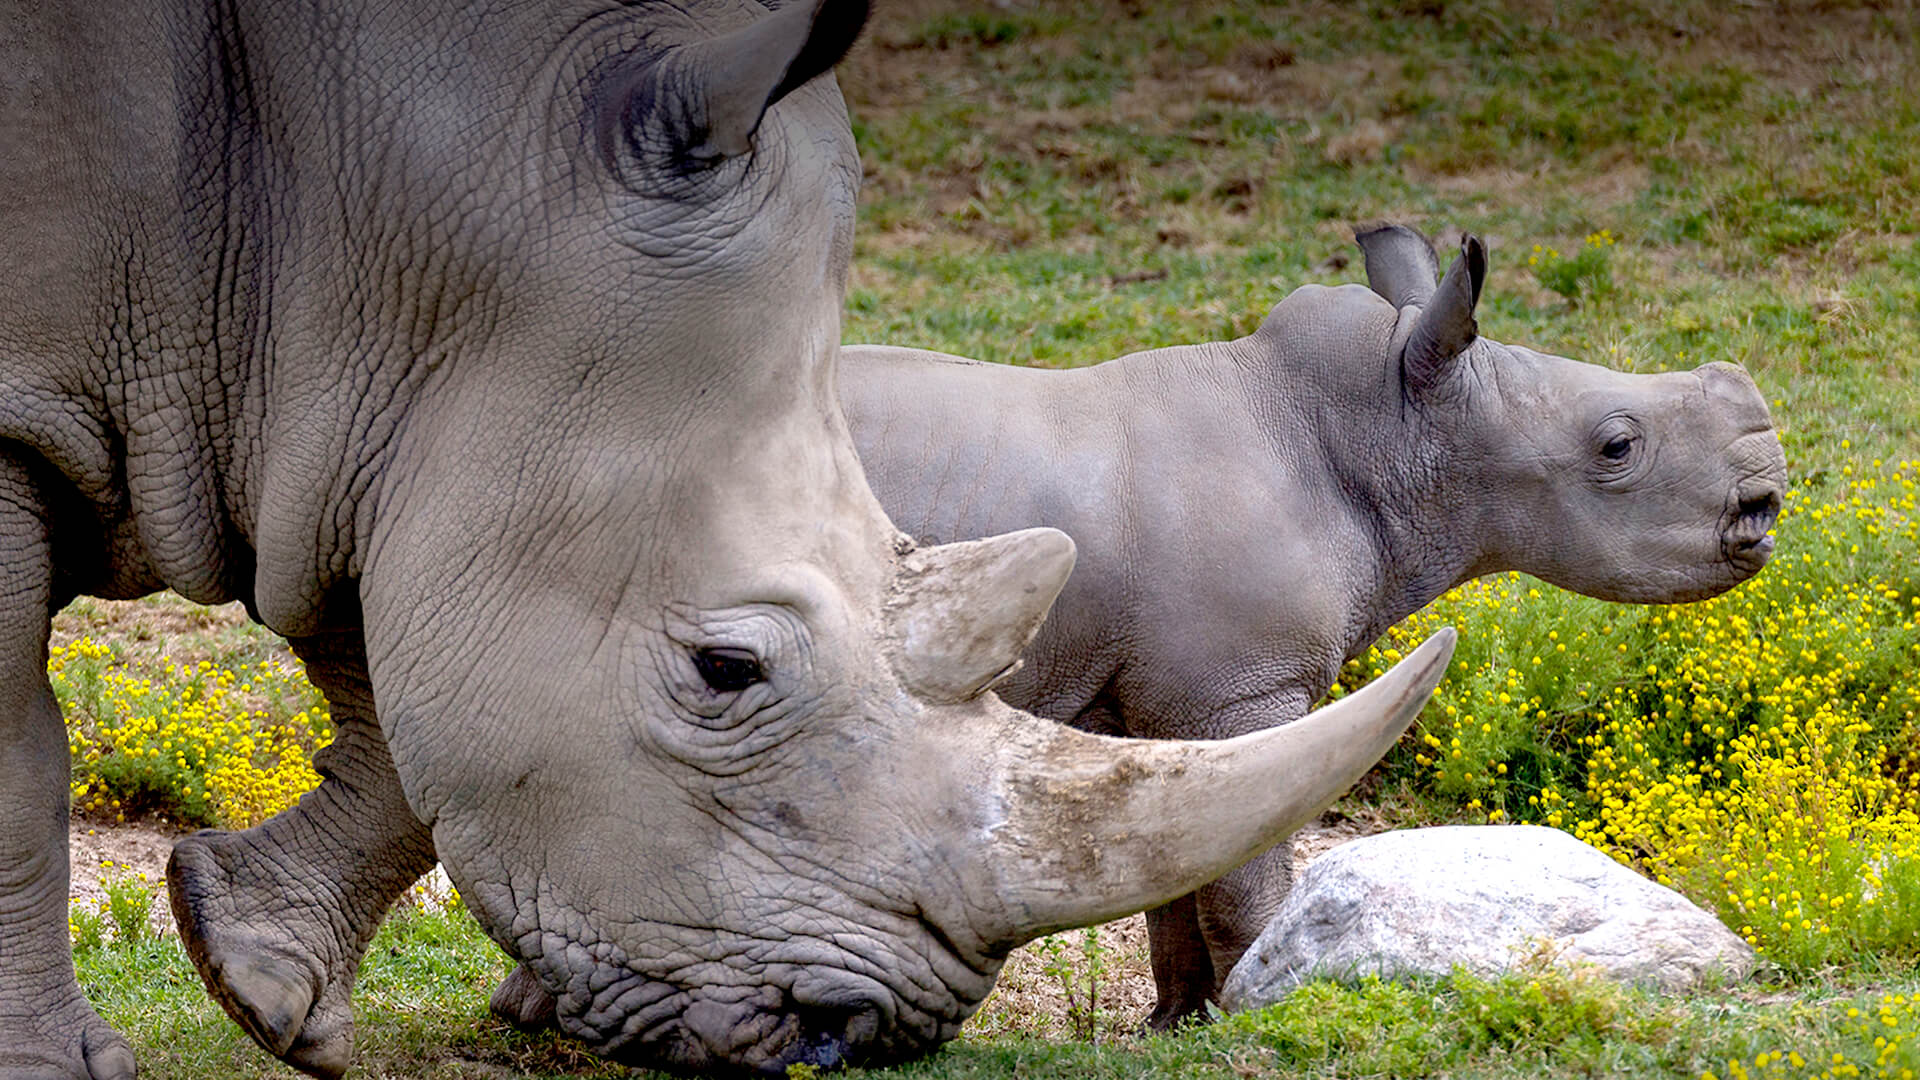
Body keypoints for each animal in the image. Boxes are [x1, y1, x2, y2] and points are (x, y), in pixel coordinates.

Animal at [0, 4, 1451, 1068]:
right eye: (725, 671)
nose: (854, 1035)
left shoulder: (392, 428)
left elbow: (411, 732)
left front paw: (262, 985)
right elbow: (22, 758)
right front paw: (67, 1066)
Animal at [833, 222, 1789, 1022]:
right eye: (1617, 447)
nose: (1767, 494)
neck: (1389, 424)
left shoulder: (1165, 699)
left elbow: (1177, 858)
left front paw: (1180, 1023)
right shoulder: (1238, 692)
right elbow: (1239, 869)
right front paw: (1255, 1000)